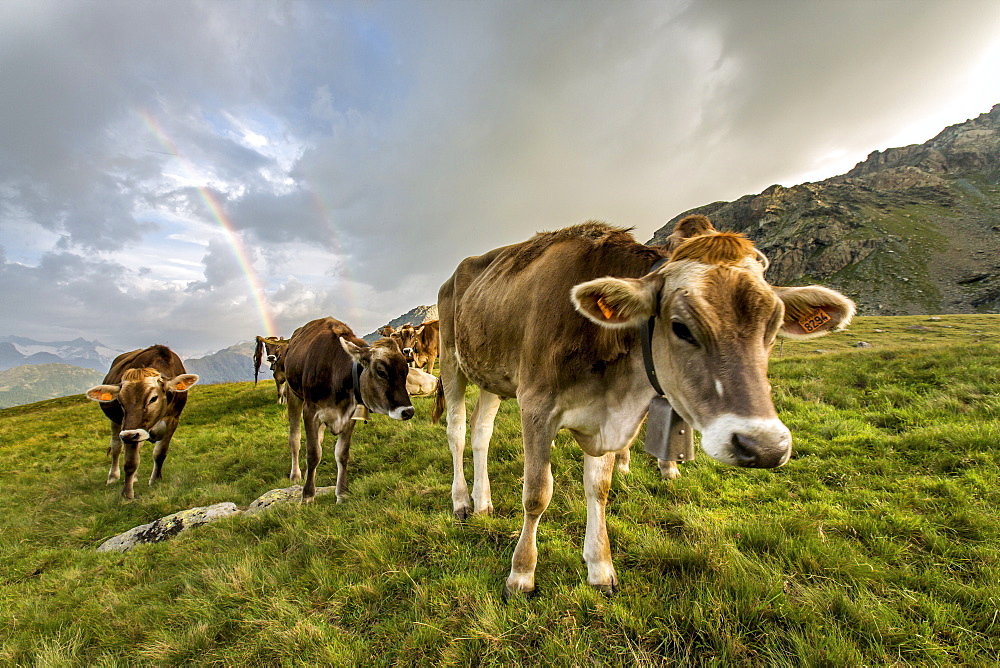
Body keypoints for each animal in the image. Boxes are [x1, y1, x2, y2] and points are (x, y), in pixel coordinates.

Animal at [84, 348, 199, 498]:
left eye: (153, 398)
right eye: (120, 401)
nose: (129, 435)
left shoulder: (172, 419)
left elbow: (160, 453)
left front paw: (155, 480)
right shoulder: (128, 428)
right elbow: (130, 462)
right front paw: (127, 494)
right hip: (117, 423)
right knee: (116, 447)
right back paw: (113, 477)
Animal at [284, 318, 416, 500]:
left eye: (406, 372)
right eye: (381, 372)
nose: (408, 411)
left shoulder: (350, 414)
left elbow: (342, 454)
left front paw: (342, 494)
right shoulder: (310, 411)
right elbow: (313, 453)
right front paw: (308, 495)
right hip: (293, 395)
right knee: (295, 438)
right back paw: (296, 474)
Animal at [438, 218, 852, 596]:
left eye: (773, 325)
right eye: (680, 326)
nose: (764, 446)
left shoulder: (605, 416)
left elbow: (599, 488)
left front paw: (600, 566)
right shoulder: (537, 406)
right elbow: (537, 493)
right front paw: (521, 575)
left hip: (492, 376)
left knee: (482, 432)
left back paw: (483, 502)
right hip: (451, 360)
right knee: (457, 430)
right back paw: (461, 502)